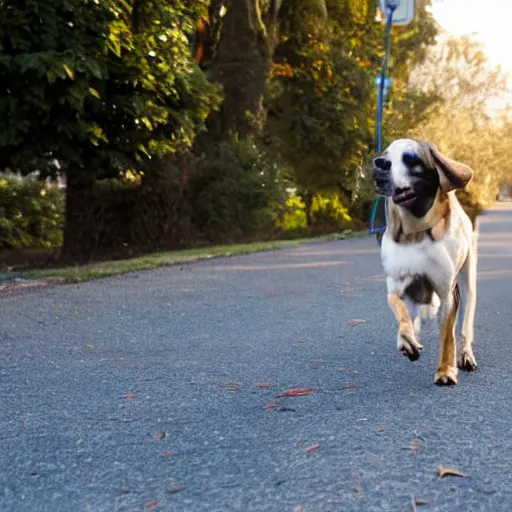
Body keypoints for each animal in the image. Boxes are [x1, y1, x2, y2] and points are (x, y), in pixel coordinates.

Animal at [372, 138, 476, 386]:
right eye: (385, 154)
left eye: (411, 158)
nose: (379, 163)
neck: (415, 233)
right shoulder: (397, 282)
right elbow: (398, 306)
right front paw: (406, 339)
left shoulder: (448, 293)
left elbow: (447, 335)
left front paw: (445, 371)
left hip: (468, 280)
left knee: (465, 326)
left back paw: (466, 355)